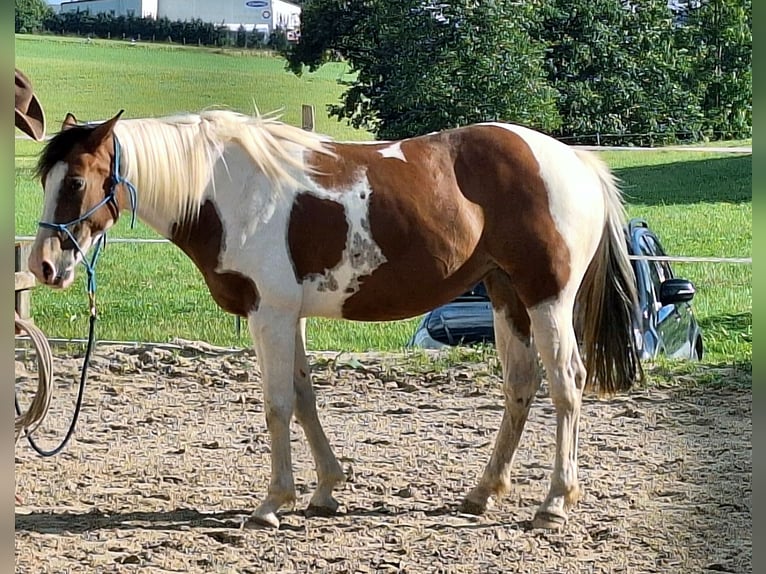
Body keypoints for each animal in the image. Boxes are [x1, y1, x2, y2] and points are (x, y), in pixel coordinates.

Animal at [28, 110, 640, 532]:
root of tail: (575, 162)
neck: (225, 190)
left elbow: (276, 405)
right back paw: (483, 492)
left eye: (76, 182)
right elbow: (304, 398)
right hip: (506, 294)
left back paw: (554, 504)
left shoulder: (269, 314)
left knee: (566, 385)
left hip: (547, 299)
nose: (44, 265)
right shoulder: (289, 316)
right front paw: (325, 490)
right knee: (520, 385)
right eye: (46, 181)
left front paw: (272, 504)